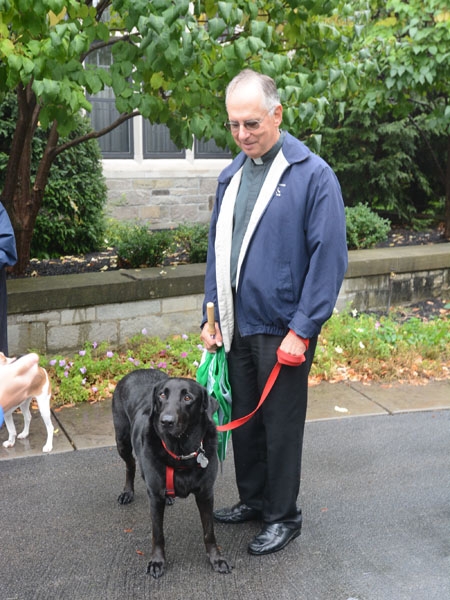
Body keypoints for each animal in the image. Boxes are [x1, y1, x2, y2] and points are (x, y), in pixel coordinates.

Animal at [111, 368, 232, 580]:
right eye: (162, 395)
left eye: (187, 397)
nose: (166, 421)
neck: (181, 451)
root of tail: (137, 370)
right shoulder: (155, 497)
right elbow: (157, 534)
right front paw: (157, 562)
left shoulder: (206, 494)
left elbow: (209, 531)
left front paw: (216, 559)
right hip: (122, 439)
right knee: (131, 464)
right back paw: (127, 492)